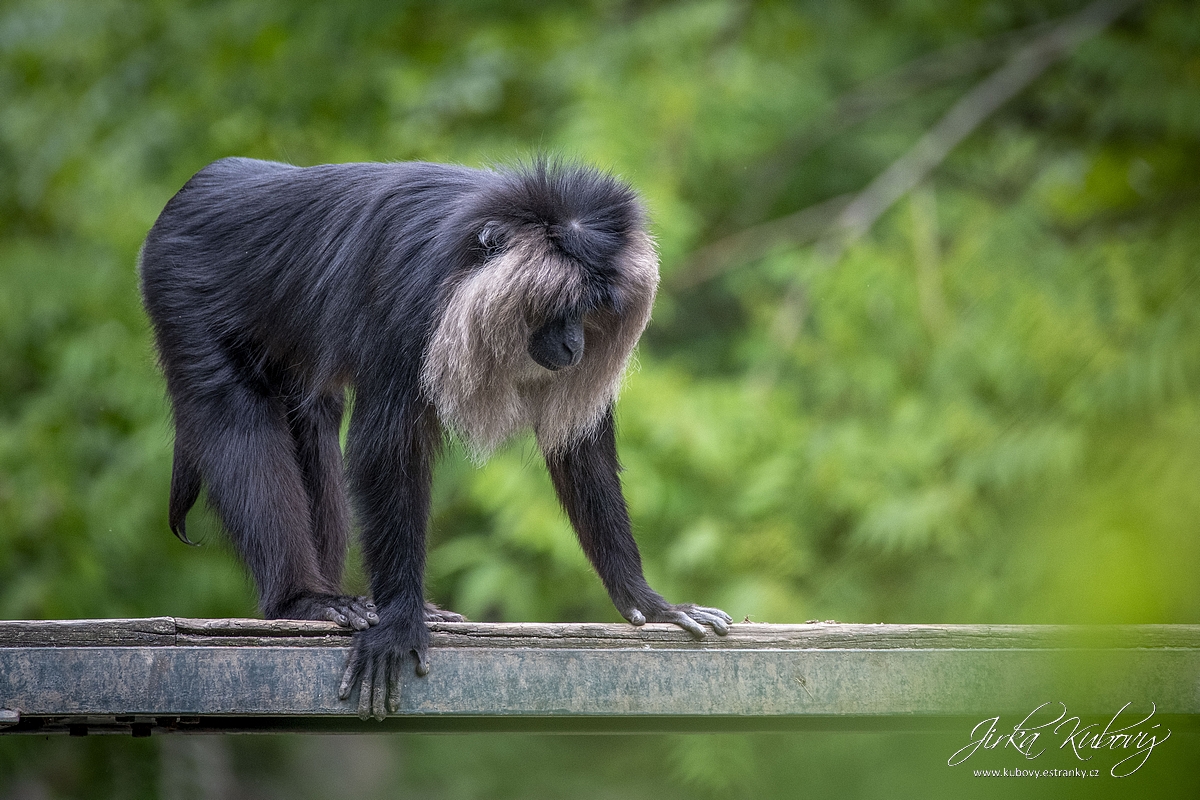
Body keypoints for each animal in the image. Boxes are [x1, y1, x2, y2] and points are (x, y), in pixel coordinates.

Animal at [136, 154, 724, 719]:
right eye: (562, 309)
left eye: (591, 313)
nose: (575, 346)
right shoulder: (408, 298)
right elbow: (386, 449)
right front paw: (399, 623)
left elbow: (580, 449)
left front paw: (646, 600)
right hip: (179, 286)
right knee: (236, 417)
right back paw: (301, 600)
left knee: (313, 423)